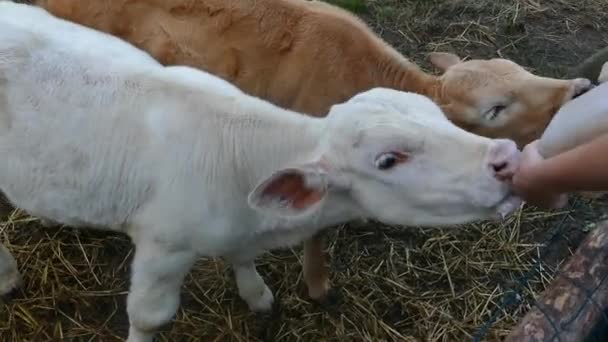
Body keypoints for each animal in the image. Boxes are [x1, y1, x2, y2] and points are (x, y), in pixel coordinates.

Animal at [1, 2, 524, 342]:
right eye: (388, 159)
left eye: (437, 117)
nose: (505, 157)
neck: (238, 159)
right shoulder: (164, 244)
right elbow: (149, 317)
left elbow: (243, 259)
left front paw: (256, 294)